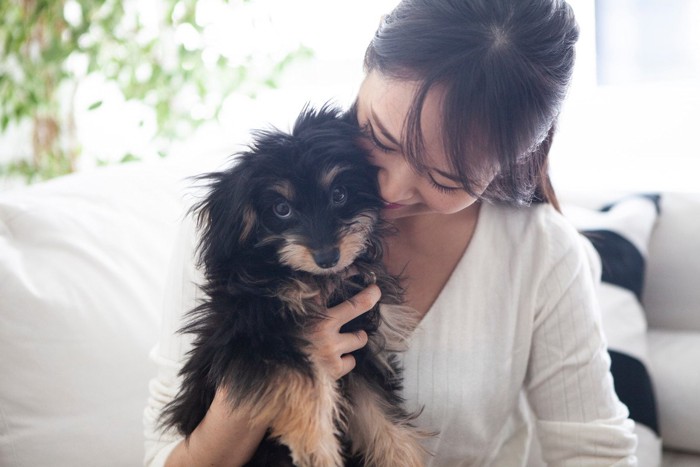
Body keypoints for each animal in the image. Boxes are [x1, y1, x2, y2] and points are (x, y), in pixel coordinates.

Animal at [160, 106, 426, 467]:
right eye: (281, 209)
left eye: (339, 195)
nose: (328, 257)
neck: (312, 281)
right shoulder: (256, 336)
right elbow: (305, 380)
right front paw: (318, 450)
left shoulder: (360, 354)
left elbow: (383, 419)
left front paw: (405, 458)